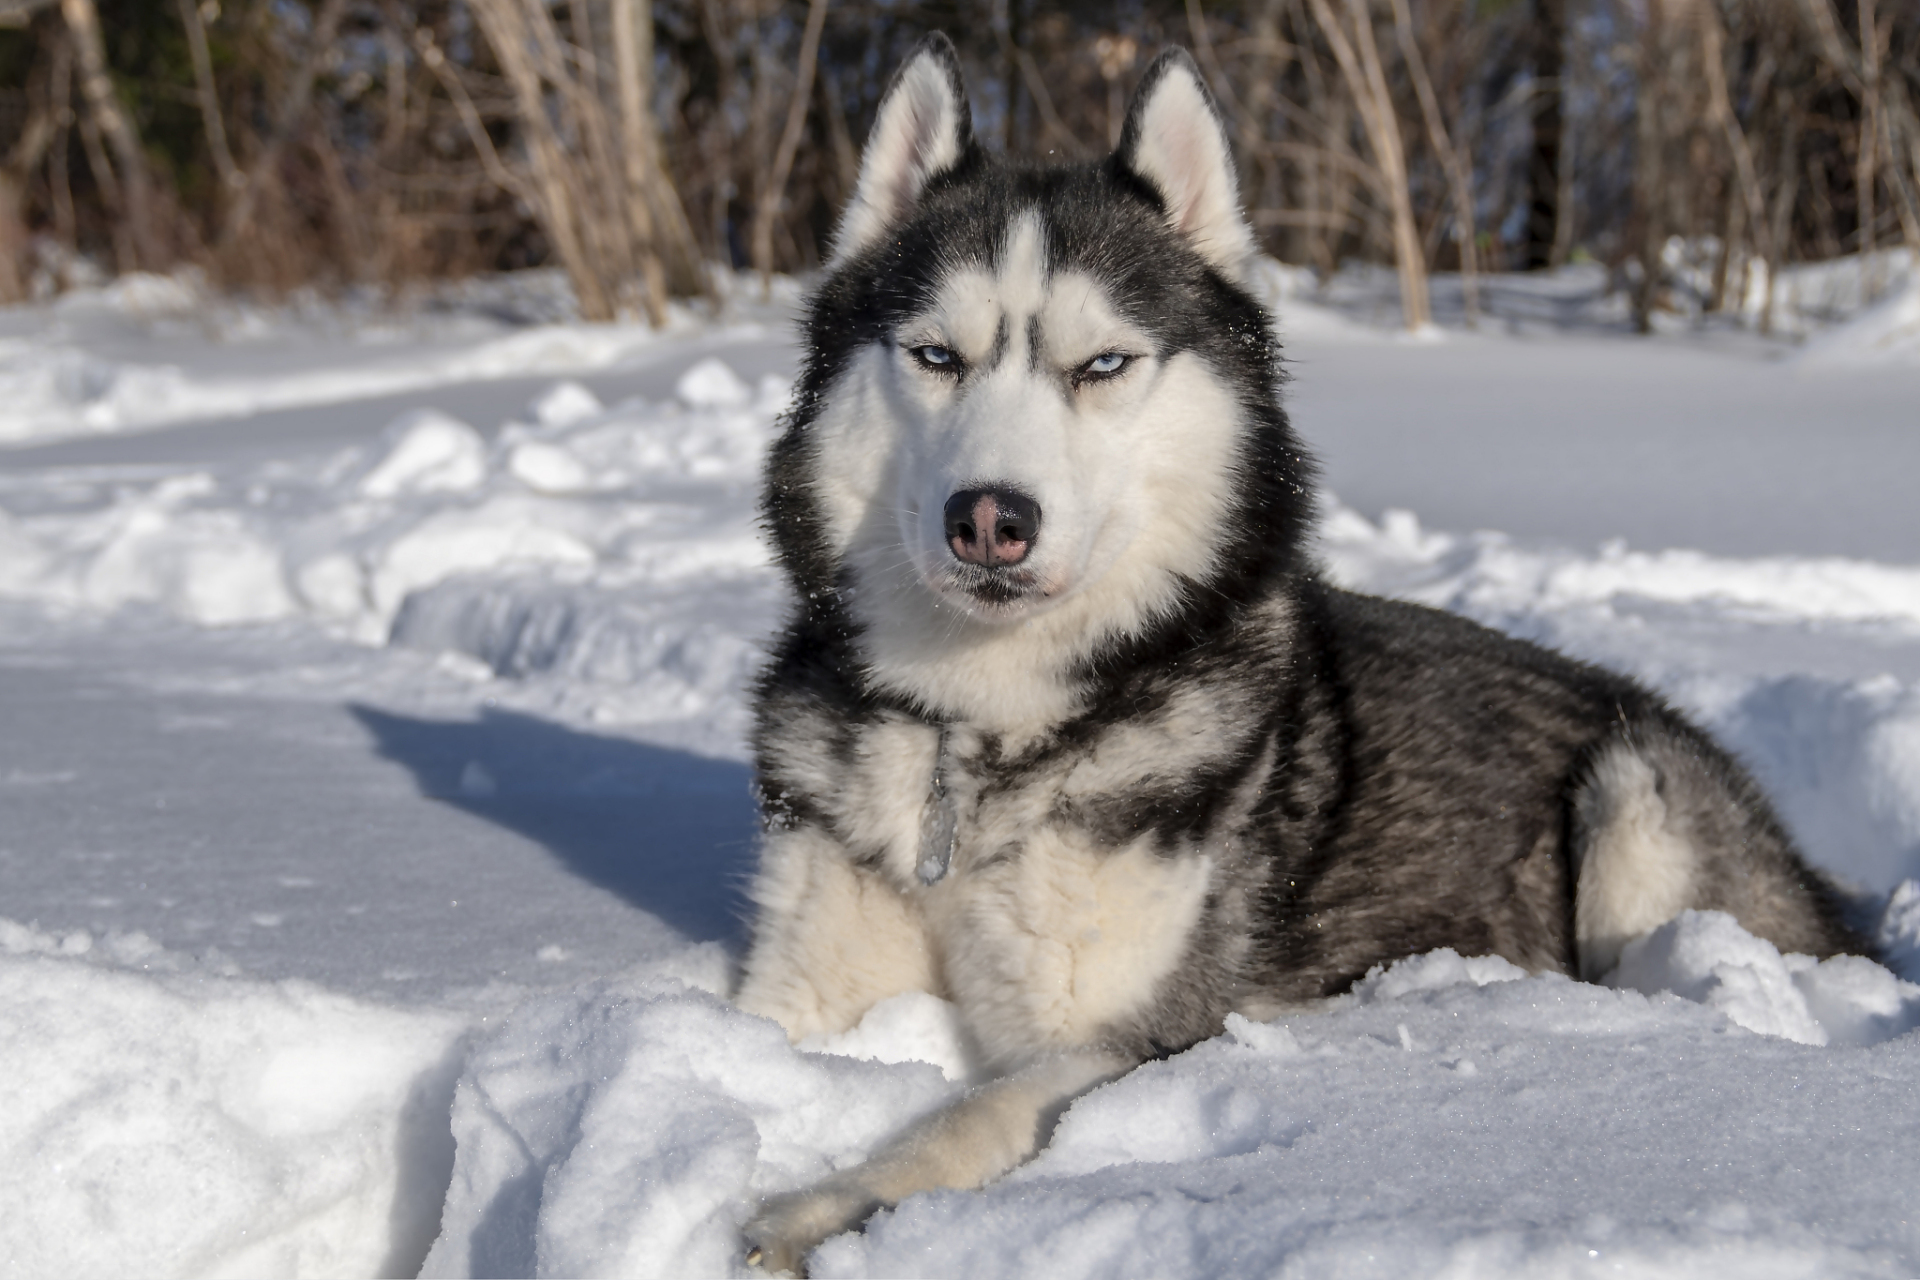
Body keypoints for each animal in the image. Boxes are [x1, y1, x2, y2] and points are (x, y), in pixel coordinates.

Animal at [729, 35, 1858, 1274]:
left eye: (1102, 365)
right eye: (936, 354)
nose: (990, 516)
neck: (981, 733)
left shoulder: (1143, 1035)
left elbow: (971, 1113)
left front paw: (819, 1206)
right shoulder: (805, 970)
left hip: (1632, 791)